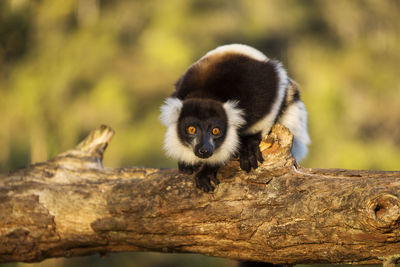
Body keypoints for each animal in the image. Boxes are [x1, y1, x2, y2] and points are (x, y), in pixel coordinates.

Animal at [159, 43, 310, 193]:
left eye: (215, 131)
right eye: (191, 129)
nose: (204, 150)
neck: (205, 94)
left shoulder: (259, 93)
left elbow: (266, 111)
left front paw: (210, 169)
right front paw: (188, 163)